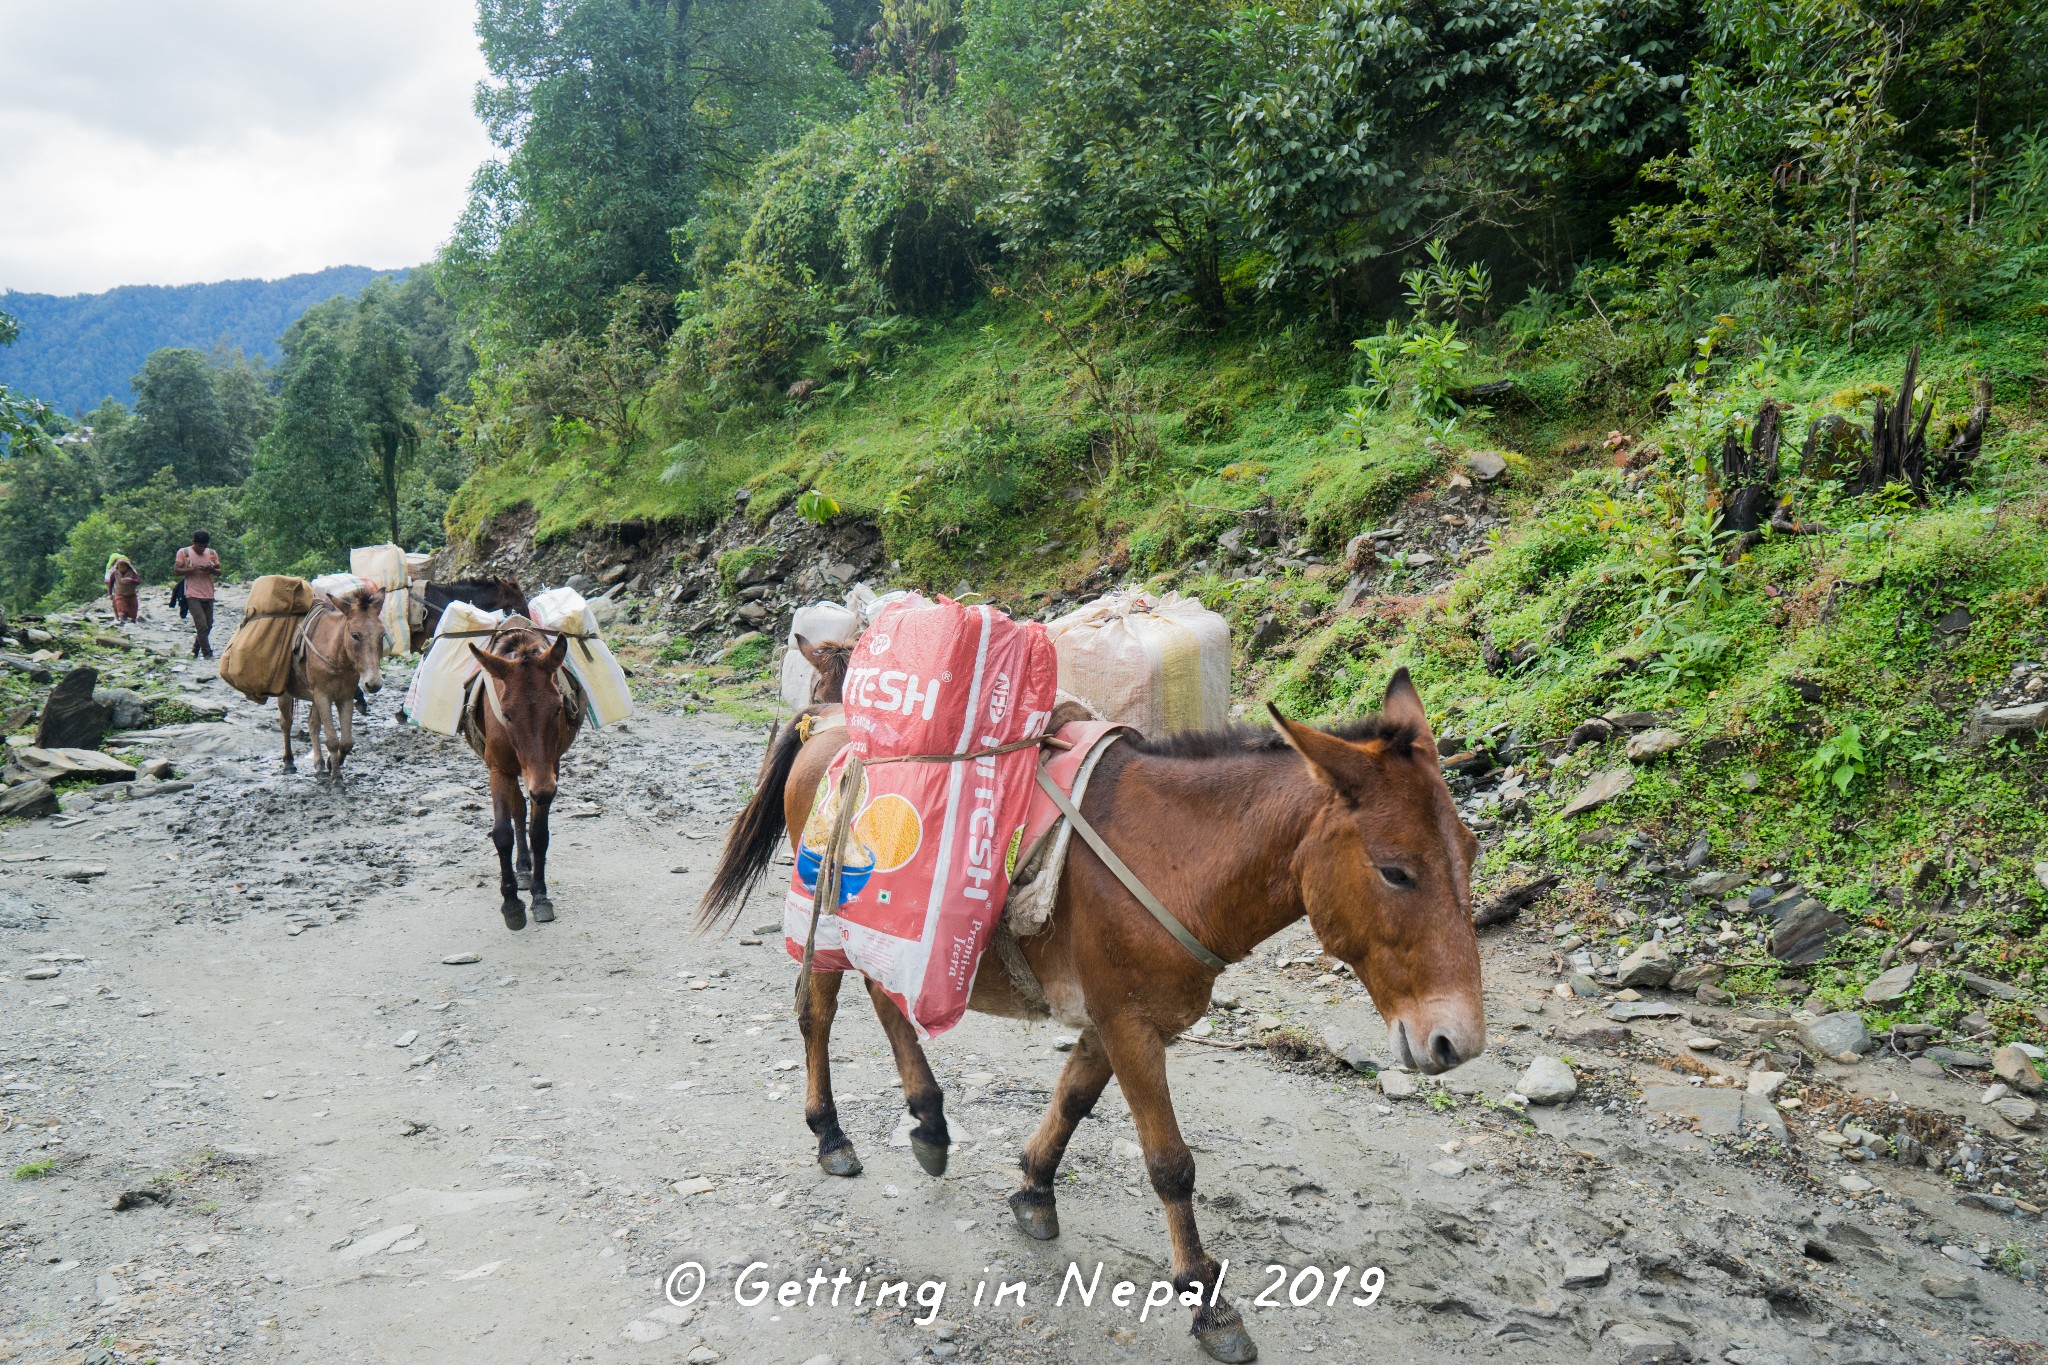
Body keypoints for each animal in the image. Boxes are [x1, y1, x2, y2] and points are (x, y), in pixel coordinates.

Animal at [466, 622, 581, 929]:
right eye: (506, 715)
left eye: (557, 708)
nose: (542, 790)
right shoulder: (499, 769)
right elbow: (502, 833)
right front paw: (511, 903)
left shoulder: (550, 768)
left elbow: (539, 833)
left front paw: (540, 897)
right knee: (517, 808)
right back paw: (522, 868)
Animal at [696, 675, 1482, 1365]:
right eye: (1395, 871)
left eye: (1471, 854)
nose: (1458, 1041)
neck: (1174, 854)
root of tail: (824, 720)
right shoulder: (1129, 1022)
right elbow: (1170, 1164)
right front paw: (1209, 1305)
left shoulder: (1121, 1019)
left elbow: (1072, 1097)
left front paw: (1033, 1189)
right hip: (826, 909)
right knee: (817, 1013)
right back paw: (831, 1132)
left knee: (887, 1000)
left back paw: (930, 1122)